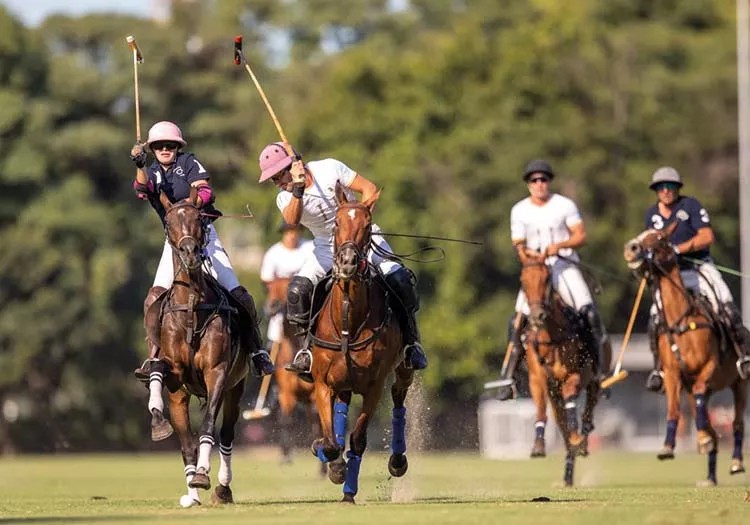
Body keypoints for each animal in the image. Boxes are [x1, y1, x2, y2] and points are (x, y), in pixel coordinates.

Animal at [153, 188, 253, 504]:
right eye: (169, 222)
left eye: (199, 219)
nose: (189, 253)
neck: (192, 306)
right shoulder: (175, 384)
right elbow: (186, 442)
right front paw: (191, 490)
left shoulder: (216, 372)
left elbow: (208, 426)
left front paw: (201, 475)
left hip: (236, 387)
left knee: (228, 434)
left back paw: (223, 488)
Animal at [312, 181, 418, 504]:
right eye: (336, 223)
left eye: (368, 225)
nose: (347, 263)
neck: (349, 321)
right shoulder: (322, 382)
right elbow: (331, 440)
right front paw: (334, 465)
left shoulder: (374, 385)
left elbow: (358, 440)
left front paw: (348, 491)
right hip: (343, 382)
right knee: (341, 411)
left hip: (403, 368)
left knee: (398, 399)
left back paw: (397, 461)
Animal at [520, 248, 604, 486]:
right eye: (523, 281)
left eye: (547, 279)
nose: (537, 316)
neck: (552, 336)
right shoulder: (537, 377)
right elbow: (541, 407)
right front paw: (538, 446)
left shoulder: (576, 374)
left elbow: (572, 400)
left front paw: (578, 438)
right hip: (554, 396)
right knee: (562, 424)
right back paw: (568, 473)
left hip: (593, 383)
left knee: (587, 414)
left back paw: (582, 442)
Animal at [624, 223, 748, 482]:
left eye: (660, 237)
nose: (631, 248)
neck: (680, 319)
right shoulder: (672, 374)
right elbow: (673, 409)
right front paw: (668, 447)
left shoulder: (708, 366)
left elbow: (702, 394)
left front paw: (702, 440)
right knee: (710, 422)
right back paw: (710, 470)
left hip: (740, 383)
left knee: (737, 422)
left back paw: (735, 462)